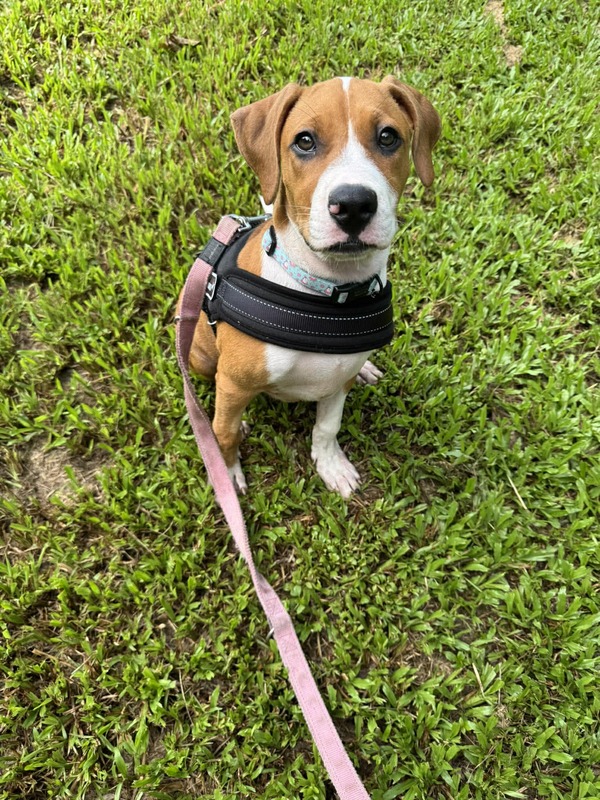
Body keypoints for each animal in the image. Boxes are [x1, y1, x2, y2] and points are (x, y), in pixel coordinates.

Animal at [183, 76, 440, 497]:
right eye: (304, 141)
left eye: (388, 137)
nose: (353, 205)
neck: (327, 294)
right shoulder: (234, 384)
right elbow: (224, 432)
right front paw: (227, 473)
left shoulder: (338, 379)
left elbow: (327, 426)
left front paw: (331, 465)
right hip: (201, 358)